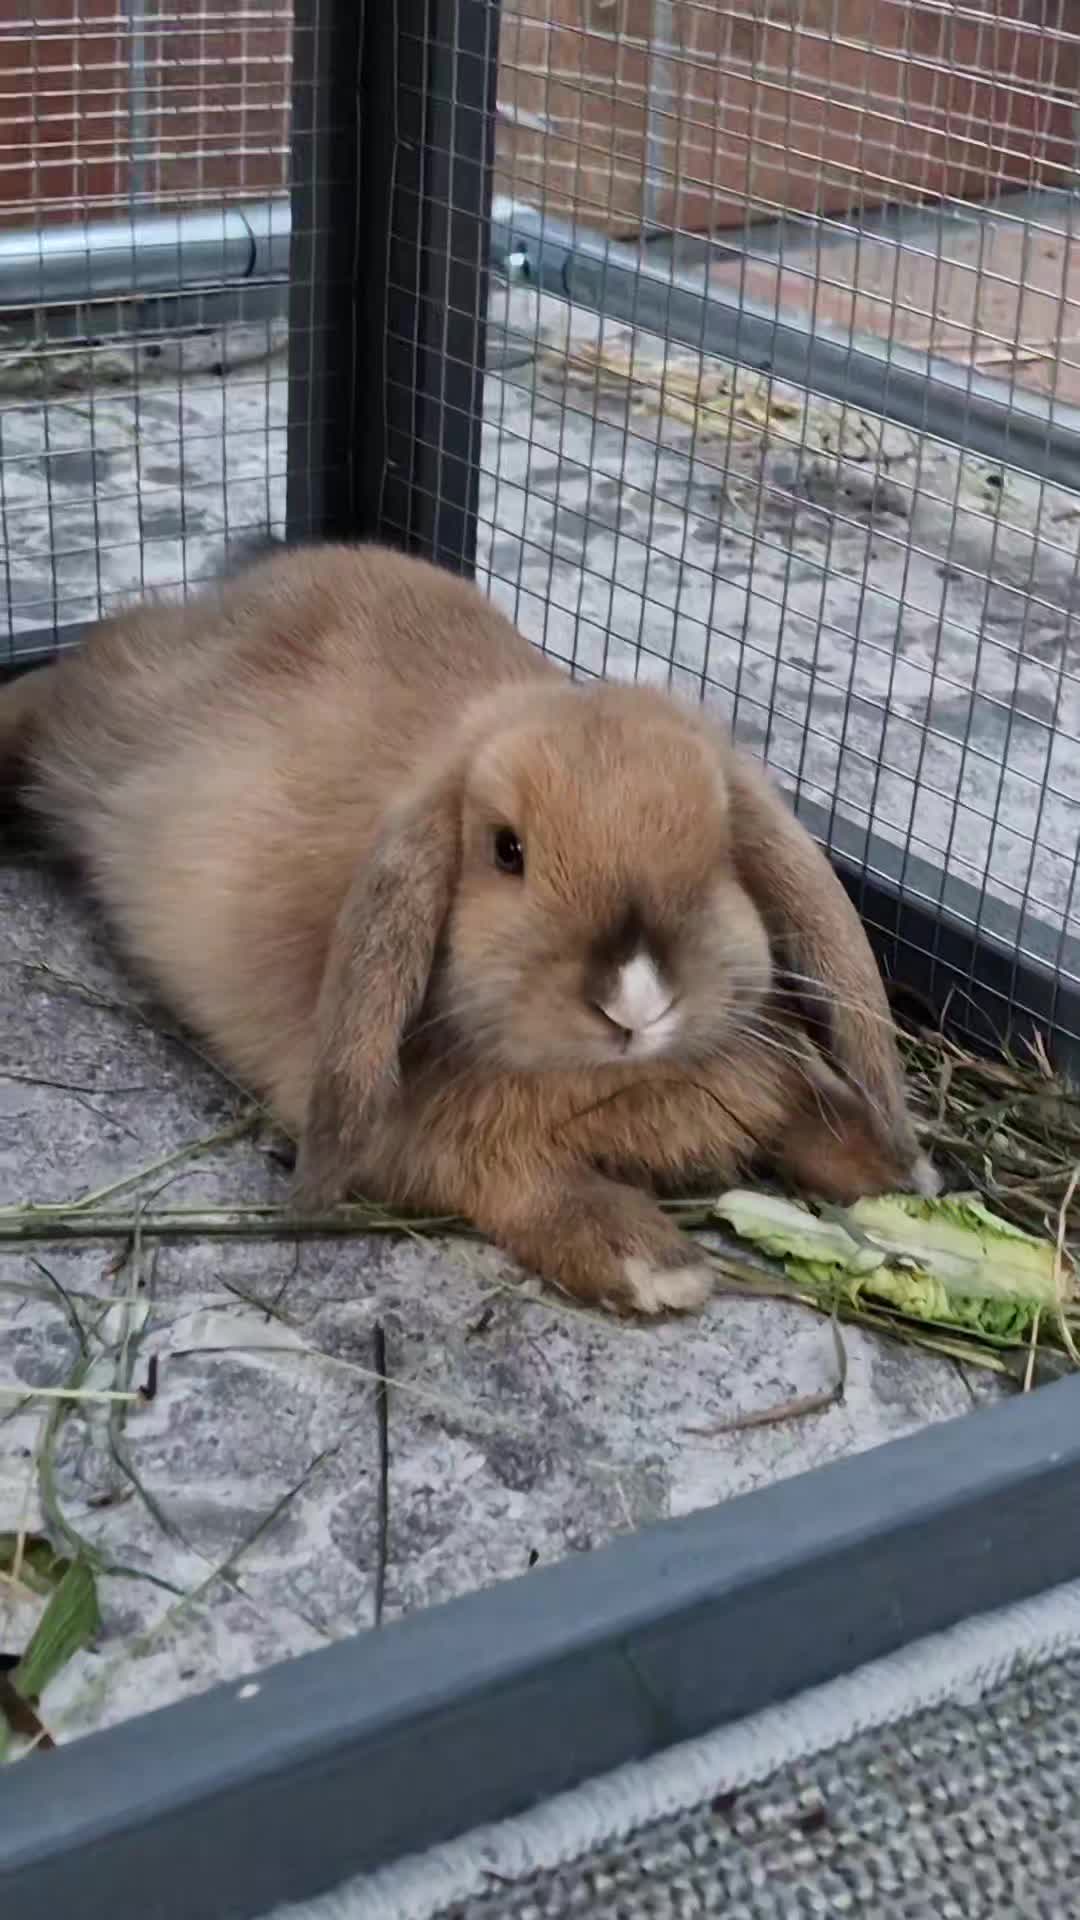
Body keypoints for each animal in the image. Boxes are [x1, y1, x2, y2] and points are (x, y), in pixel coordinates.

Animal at [0, 541, 935, 1315]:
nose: (635, 1002)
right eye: (506, 850)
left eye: (718, 853)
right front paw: (650, 1262)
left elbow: (809, 1111)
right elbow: (526, 1185)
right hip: (92, 724)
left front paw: (898, 1178)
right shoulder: (429, 1147)